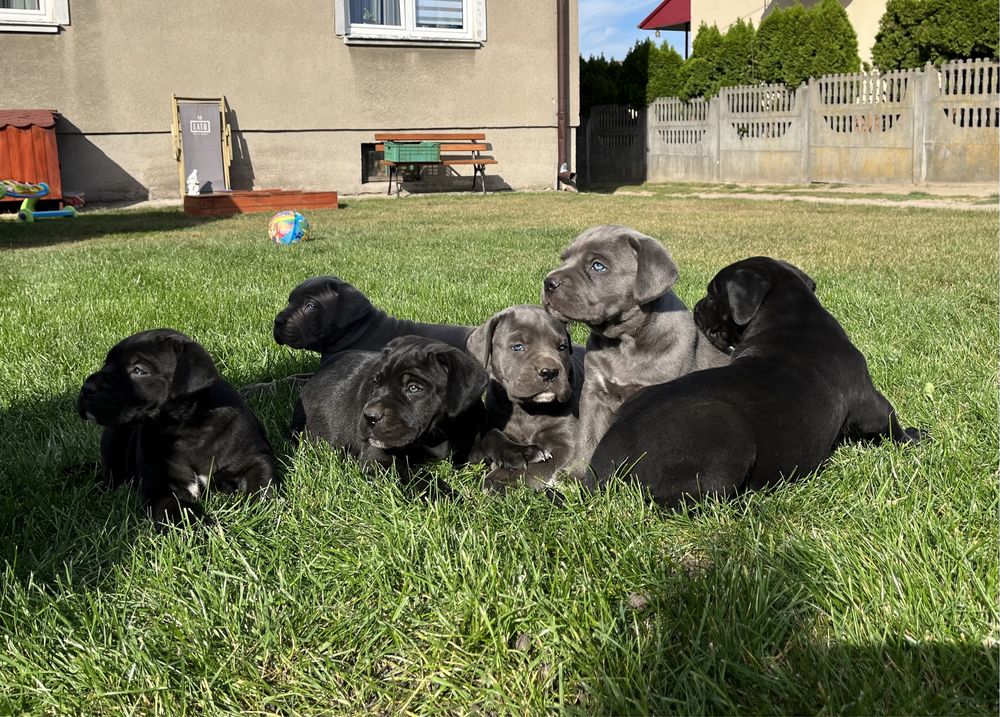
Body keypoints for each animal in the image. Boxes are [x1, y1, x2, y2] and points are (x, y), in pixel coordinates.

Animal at [468, 304, 584, 490]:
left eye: (562, 347)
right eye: (517, 347)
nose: (550, 372)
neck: (527, 410)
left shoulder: (567, 445)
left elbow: (533, 468)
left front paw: (496, 480)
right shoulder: (492, 422)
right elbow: (492, 435)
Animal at [544, 224, 732, 470]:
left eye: (598, 266)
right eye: (564, 259)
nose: (548, 283)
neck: (625, 343)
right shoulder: (594, 392)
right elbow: (588, 433)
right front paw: (577, 470)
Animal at [584, 258, 920, 510]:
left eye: (712, 295)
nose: (697, 306)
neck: (794, 318)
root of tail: (603, 465)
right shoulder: (870, 402)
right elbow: (891, 424)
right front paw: (915, 437)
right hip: (727, 442)